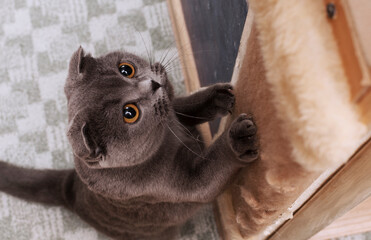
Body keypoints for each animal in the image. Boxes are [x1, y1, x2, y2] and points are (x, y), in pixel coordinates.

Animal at [0, 47, 260, 240]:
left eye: (126, 69)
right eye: (129, 113)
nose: (153, 84)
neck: (167, 134)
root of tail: (70, 187)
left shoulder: (173, 112)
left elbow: (181, 105)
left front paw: (217, 97)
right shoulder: (168, 182)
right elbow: (208, 175)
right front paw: (239, 138)